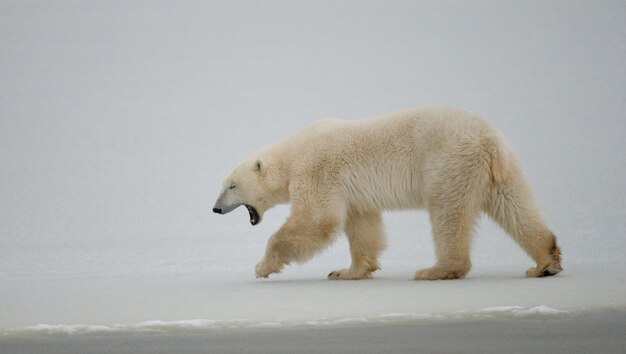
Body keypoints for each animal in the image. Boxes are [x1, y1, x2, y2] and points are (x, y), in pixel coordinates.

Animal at [211, 105, 560, 280]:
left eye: (231, 185)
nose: (215, 208)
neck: (292, 155)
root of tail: (489, 141)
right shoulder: (352, 193)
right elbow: (362, 226)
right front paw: (346, 272)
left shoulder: (317, 172)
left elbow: (317, 222)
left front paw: (262, 267)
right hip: (500, 171)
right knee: (516, 206)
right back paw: (545, 263)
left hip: (447, 163)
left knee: (447, 212)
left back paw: (436, 270)